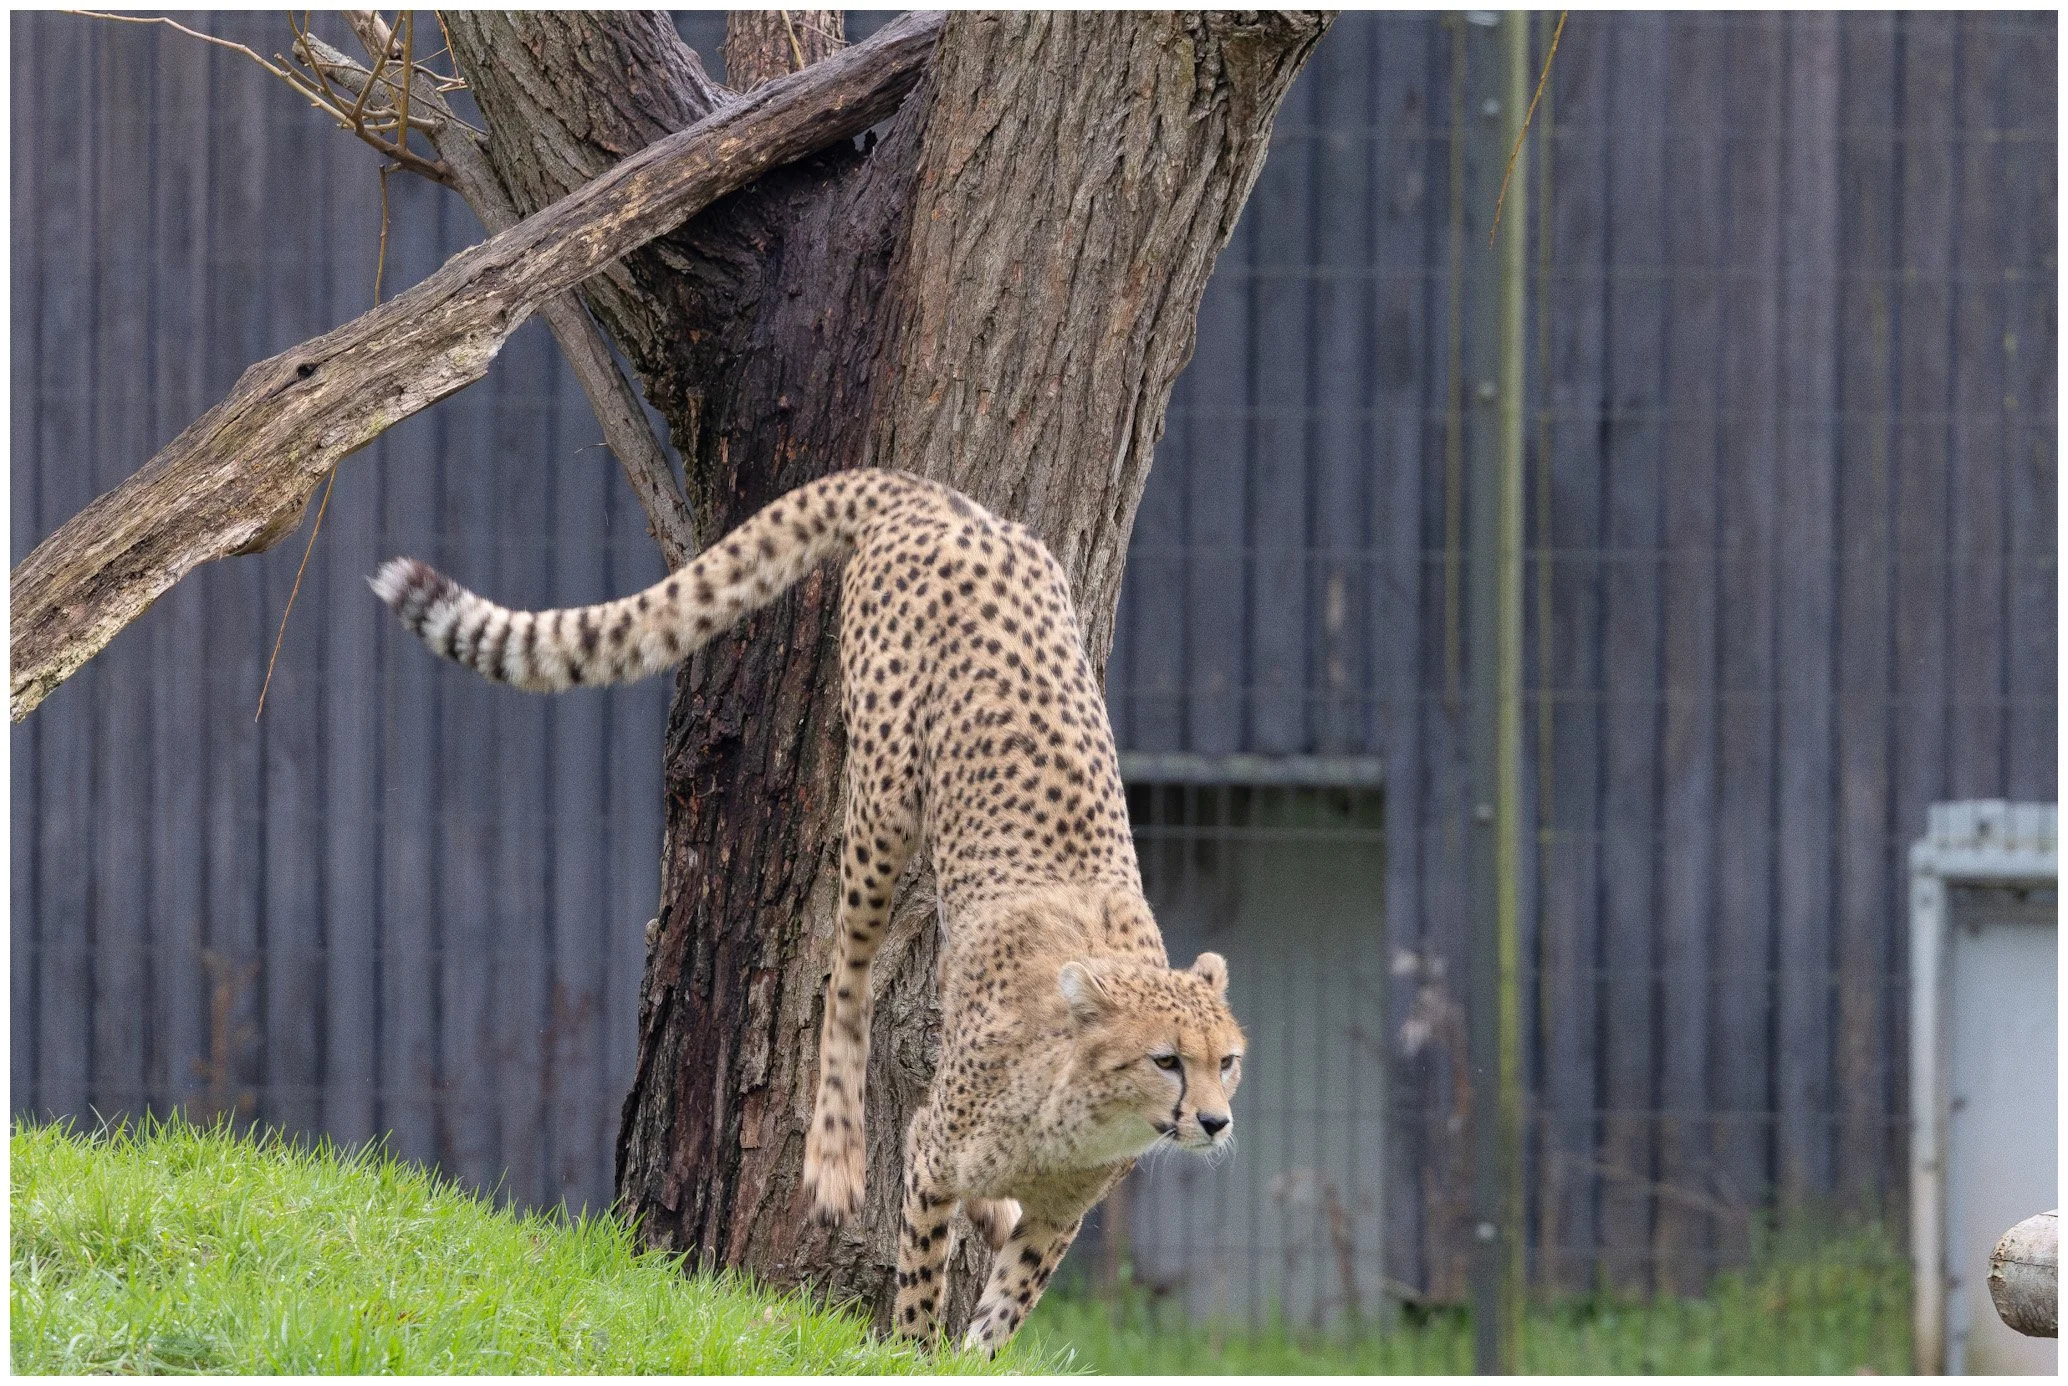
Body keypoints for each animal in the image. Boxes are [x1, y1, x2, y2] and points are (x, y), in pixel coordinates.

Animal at [370, 466, 1246, 1354]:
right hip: (885, 794)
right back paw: (835, 1156)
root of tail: (940, 500)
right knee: (846, 973)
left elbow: (1005, 1310)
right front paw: (913, 1355)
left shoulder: (1061, 1214)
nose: (1215, 1123)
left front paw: (976, 1342)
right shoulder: (932, 1155)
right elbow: (922, 1276)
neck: (1084, 1101)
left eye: (1228, 1061)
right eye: (1166, 1059)